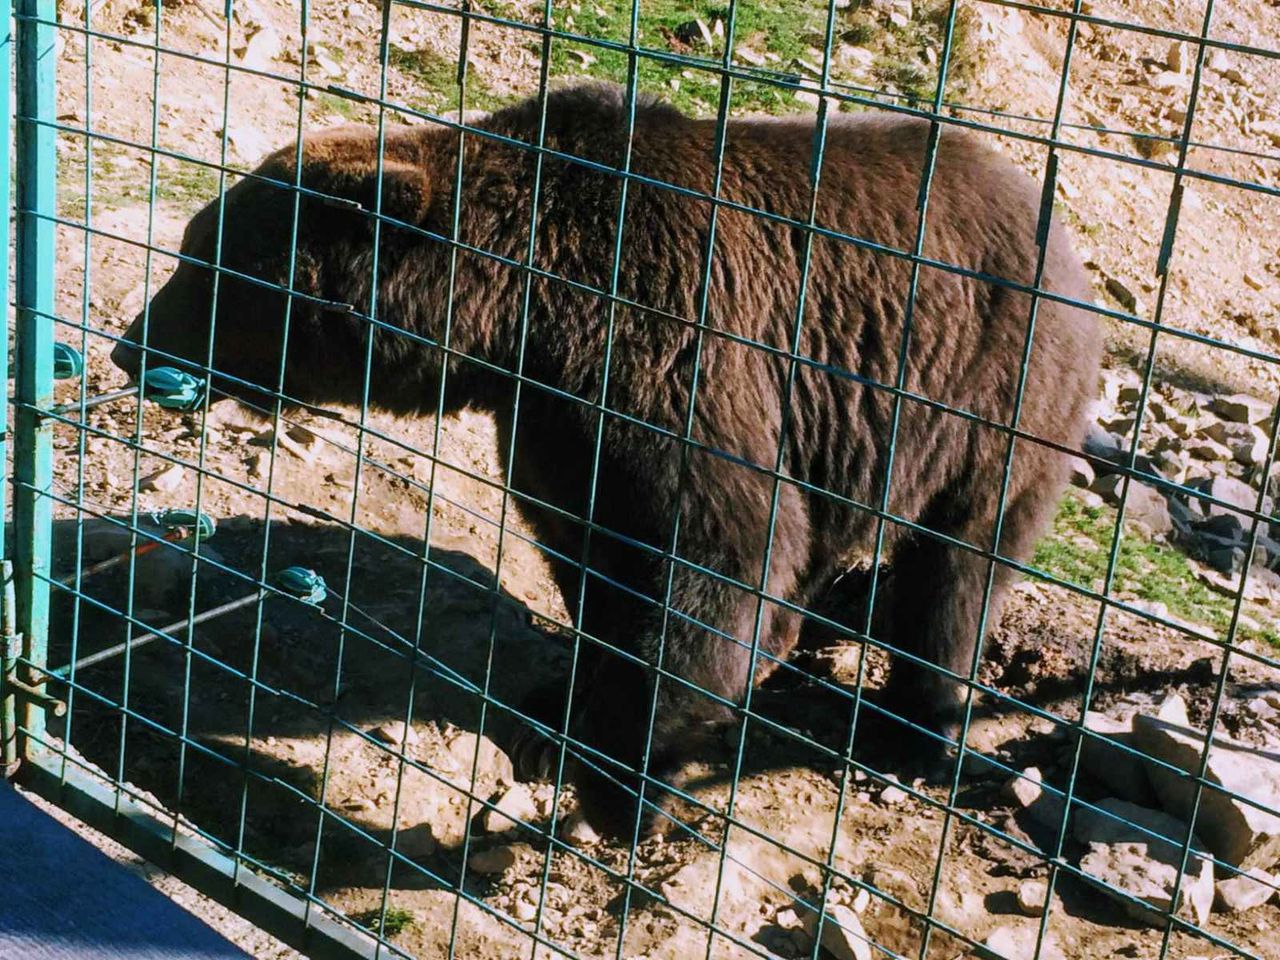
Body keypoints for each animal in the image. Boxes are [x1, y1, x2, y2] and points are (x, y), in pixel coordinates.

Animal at [112, 82, 1102, 837]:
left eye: (205, 264)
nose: (128, 347)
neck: (523, 314)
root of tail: (1050, 217)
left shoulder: (671, 358)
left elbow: (719, 568)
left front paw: (626, 788)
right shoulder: (558, 427)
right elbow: (595, 562)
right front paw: (561, 702)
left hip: (994, 393)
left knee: (958, 566)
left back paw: (918, 729)